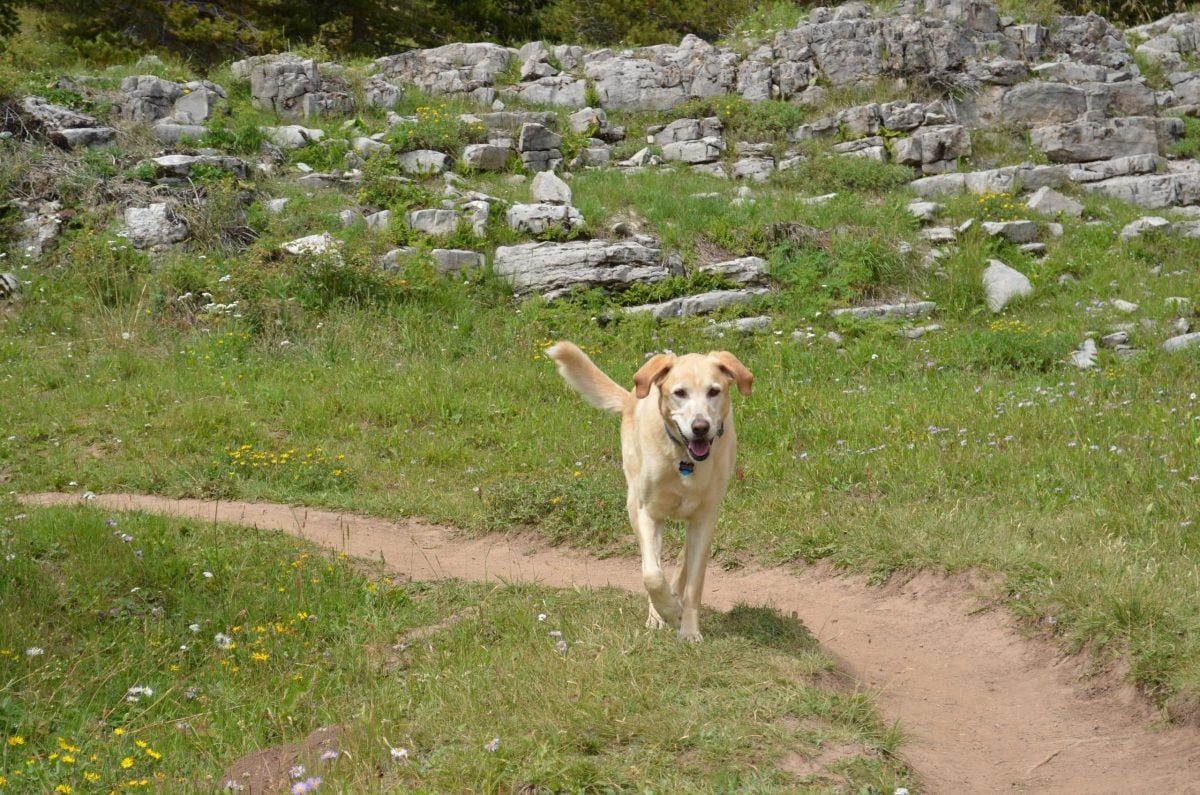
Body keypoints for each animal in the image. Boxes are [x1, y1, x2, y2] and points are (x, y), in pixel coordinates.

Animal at [544, 341, 748, 643]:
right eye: (680, 393)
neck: (683, 460)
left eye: (714, 391)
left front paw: (689, 630)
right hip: (635, 503)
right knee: (653, 564)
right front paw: (669, 612)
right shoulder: (648, 514)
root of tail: (632, 396)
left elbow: (693, 584)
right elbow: (651, 575)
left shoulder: (704, 519)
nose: (700, 428)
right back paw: (658, 614)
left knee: (682, 561)